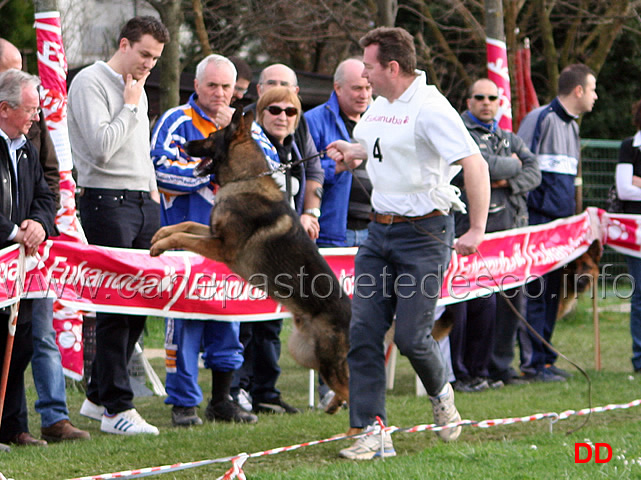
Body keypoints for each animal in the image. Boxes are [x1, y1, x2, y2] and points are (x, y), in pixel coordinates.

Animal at [150, 108, 350, 412]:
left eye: (211, 136)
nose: (181, 145)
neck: (244, 179)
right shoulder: (213, 234)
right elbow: (184, 225)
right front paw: (159, 236)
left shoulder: (220, 247)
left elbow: (183, 236)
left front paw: (161, 245)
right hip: (304, 352)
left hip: (326, 358)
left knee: (350, 388)